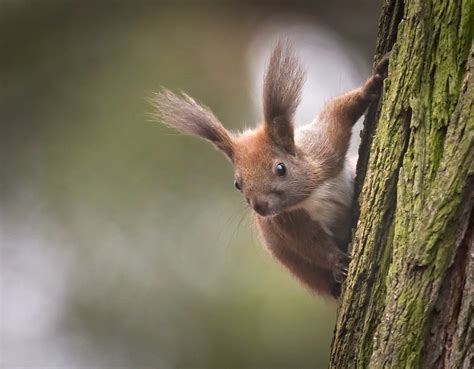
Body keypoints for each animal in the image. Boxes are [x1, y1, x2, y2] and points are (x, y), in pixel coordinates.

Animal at [152, 40, 388, 300]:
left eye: (280, 168)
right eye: (237, 183)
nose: (260, 207)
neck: (309, 195)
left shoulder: (324, 150)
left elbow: (338, 113)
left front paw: (375, 81)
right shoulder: (287, 222)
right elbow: (311, 245)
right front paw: (338, 263)